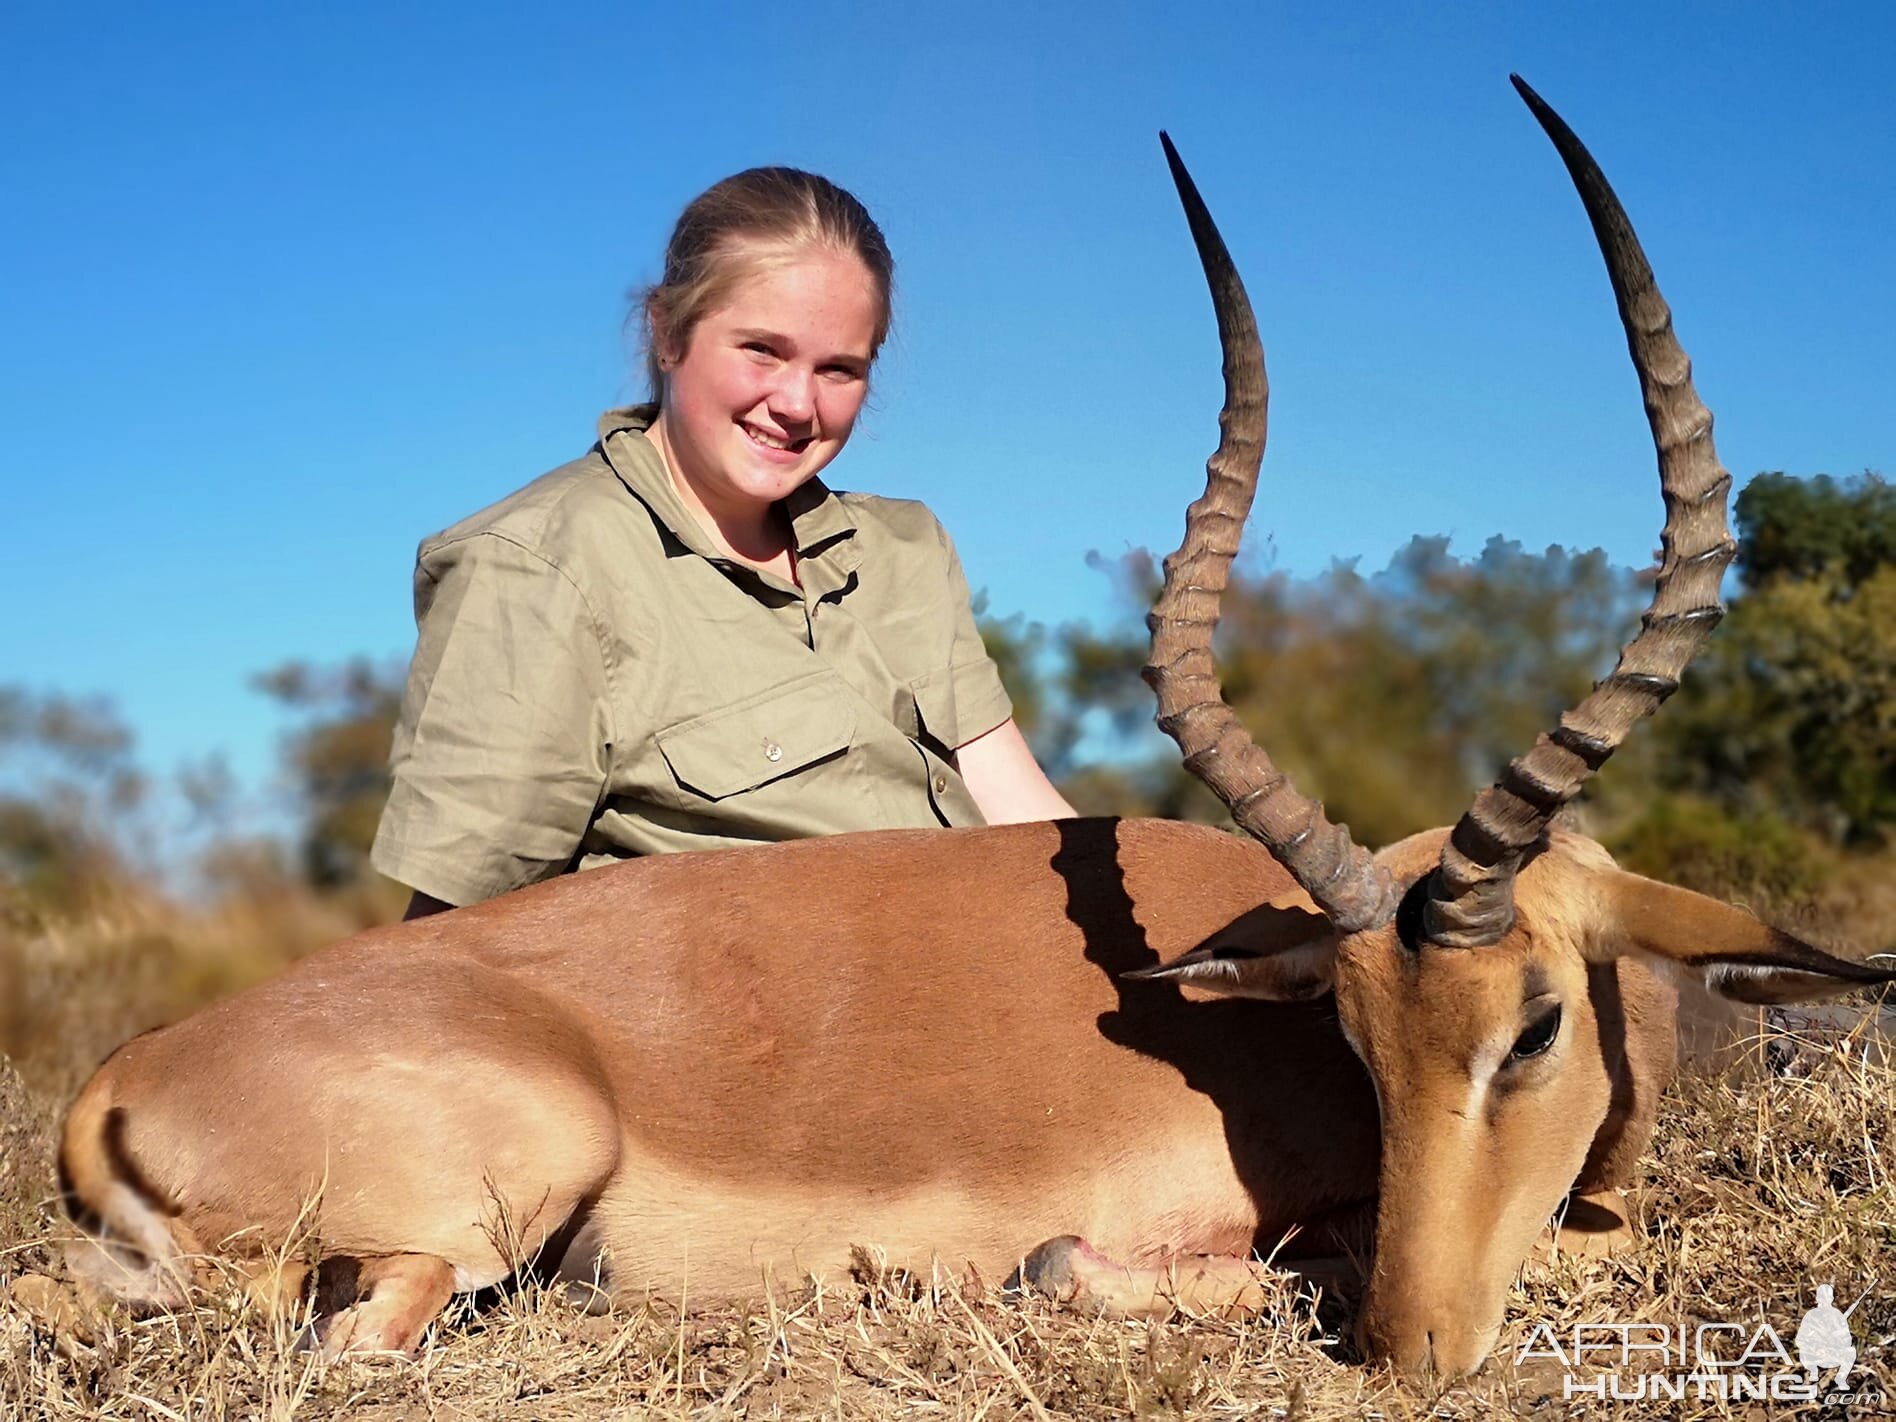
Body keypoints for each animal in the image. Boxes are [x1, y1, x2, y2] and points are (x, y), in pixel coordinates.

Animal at [58, 78, 1893, 1379]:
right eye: (1359, 1042)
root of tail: (129, 1066)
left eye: (1531, 1027)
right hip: (479, 1210)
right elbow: (1113, 1265)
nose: (1417, 1350)